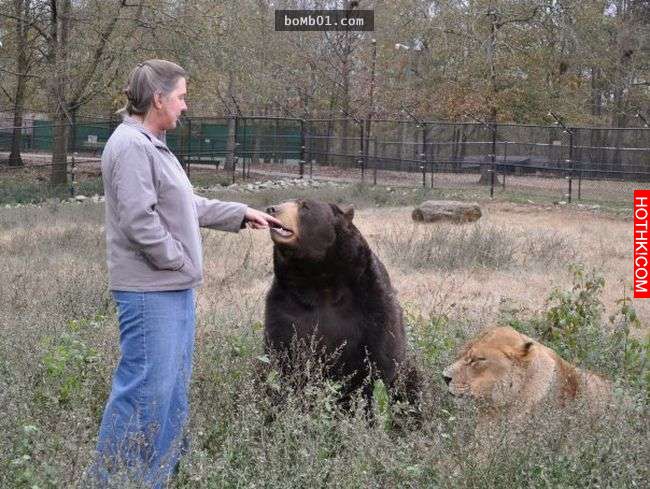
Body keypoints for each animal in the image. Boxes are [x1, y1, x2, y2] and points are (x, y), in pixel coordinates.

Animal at [263, 199, 412, 407]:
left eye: (305, 206)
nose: (272, 209)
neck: (320, 280)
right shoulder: (286, 303)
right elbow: (282, 352)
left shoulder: (371, 300)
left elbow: (382, 357)